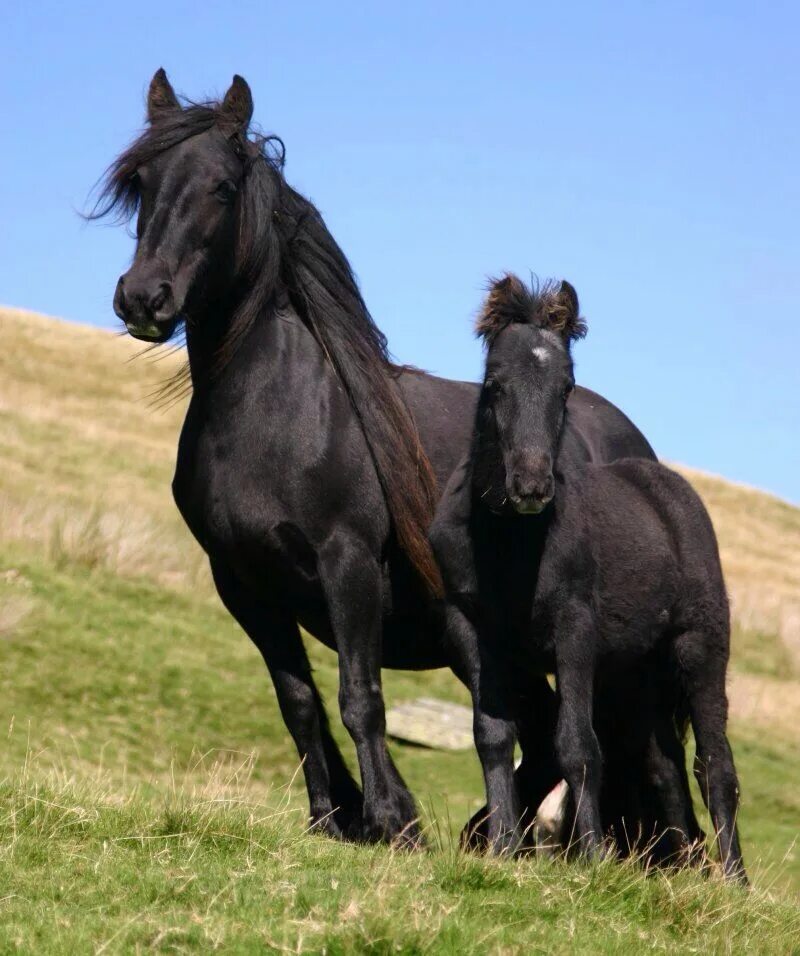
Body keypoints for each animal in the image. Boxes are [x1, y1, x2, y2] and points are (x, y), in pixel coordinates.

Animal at [97, 69, 660, 844]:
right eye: (142, 182)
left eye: (221, 186)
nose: (144, 298)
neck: (277, 411)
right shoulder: (242, 582)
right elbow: (299, 702)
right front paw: (332, 816)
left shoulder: (350, 563)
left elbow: (359, 696)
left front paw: (393, 817)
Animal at [428, 274, 748, 880]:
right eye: (494, 384)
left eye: (566, 388)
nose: (531, 485)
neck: (508, 544)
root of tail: (673, 491)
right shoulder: (470, 627)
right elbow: (493, 735)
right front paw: (503, 849)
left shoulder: (573, 628)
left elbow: (576, 743)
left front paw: (594, 860)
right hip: (636, 673)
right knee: (663, 764)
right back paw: (679, 871)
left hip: (700, 647)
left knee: (715, 764)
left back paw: (734, 883)